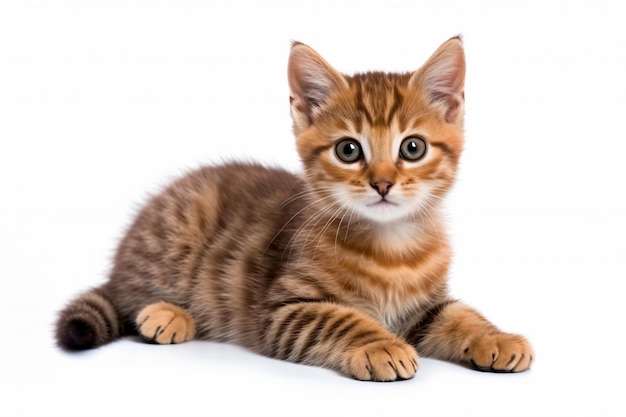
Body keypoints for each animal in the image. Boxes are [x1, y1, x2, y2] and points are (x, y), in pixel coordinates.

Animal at [56, 37, 532, 382]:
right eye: (348, 150)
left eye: (412, 148)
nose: (381, 182)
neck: (391, 247)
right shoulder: (283, 308)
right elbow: (340, 318)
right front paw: (379, 344)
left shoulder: (426, 305)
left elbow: (459, 314)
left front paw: (497, 337)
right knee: (127, 298)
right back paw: (165, 314)